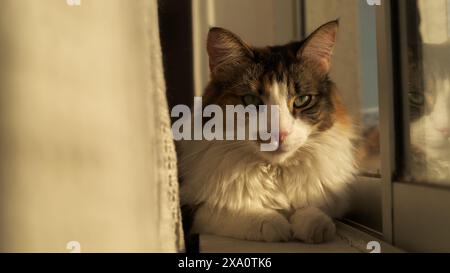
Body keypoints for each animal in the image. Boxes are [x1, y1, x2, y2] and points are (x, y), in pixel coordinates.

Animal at [178, 20, 356, 242]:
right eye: (251, 100)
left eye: (302, 100)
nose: (279, 134)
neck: (275, 171)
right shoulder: (189, 208)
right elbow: (224, 210)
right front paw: (275, 222)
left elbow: (317, 212)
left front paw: (314, 224)